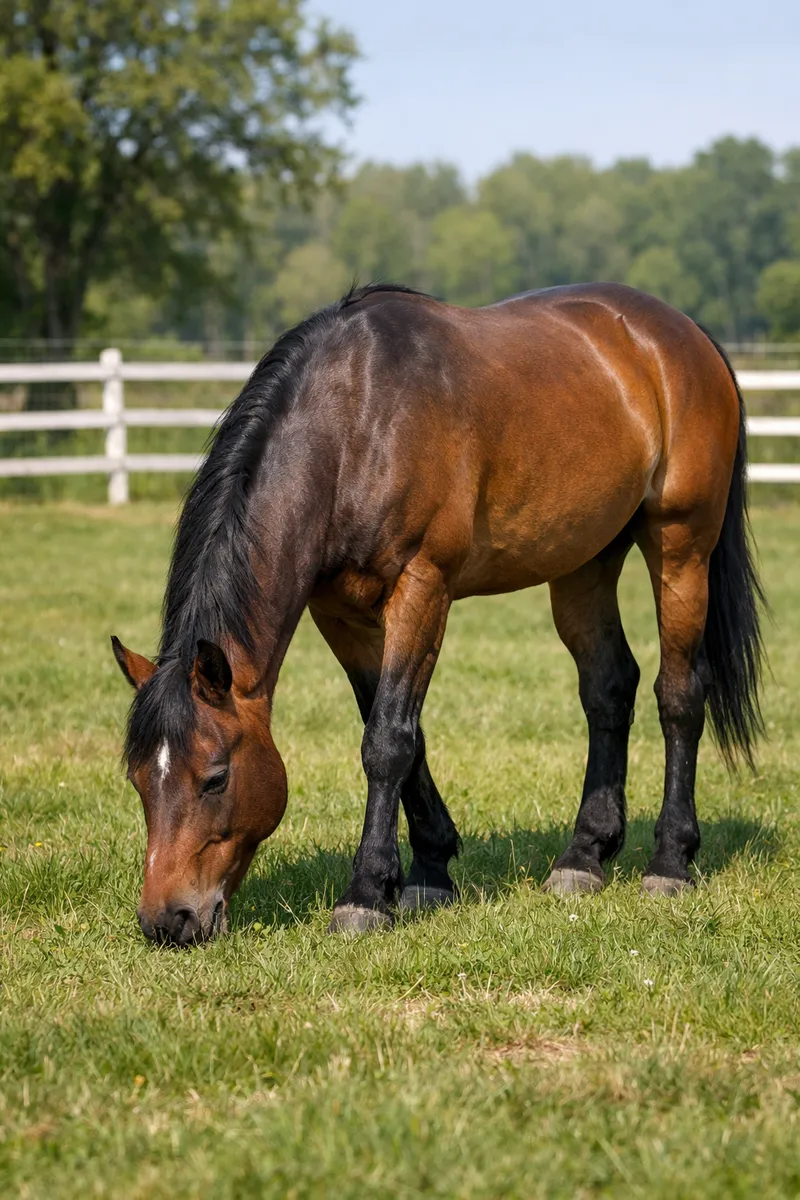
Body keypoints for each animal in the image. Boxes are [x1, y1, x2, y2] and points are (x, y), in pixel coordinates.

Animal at [112, 282, 765, 945]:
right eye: (139, 779)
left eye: (215, 776)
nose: (168, 920)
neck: (356, 423)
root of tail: (684, 334)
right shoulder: (340, 614)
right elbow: (404, 733)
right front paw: (428, 871)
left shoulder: (422, 588)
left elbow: (388, 741)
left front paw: (366, 894)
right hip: (584, 563)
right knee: (609, 689)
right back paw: (583, 857)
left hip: (682, 546)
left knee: (679, 694)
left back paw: (670, 862)